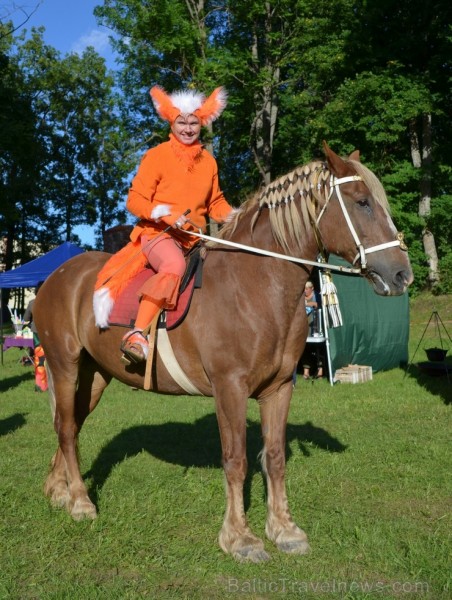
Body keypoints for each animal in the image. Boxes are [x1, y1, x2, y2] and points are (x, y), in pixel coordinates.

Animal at [32, 143, 414, 564]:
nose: (402, 275)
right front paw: (240, 538)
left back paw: (58, 489)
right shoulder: (229, 388)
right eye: (362, 202)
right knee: (66, 427)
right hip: (64, 365)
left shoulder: (279, 388)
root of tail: (55, 278)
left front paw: (284, 530)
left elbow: (274, 457)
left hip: (96, 374)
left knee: (70, 427)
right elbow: (236, 460)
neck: (254, 285)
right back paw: (81, 502)